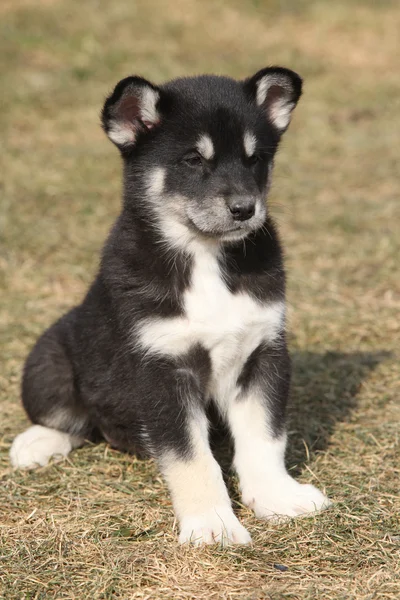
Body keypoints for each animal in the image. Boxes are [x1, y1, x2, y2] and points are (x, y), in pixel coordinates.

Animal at [10, 68, 332, 548]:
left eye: (255, 159)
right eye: (193, 160)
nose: (245, 209)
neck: (205, 255)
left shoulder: (262, 353)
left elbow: (264, 438)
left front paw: (278, 497)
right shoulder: (163, 368)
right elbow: (192, 458)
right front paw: (213, 525)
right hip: (49, 359)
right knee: (68, 418)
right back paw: (35, 443)